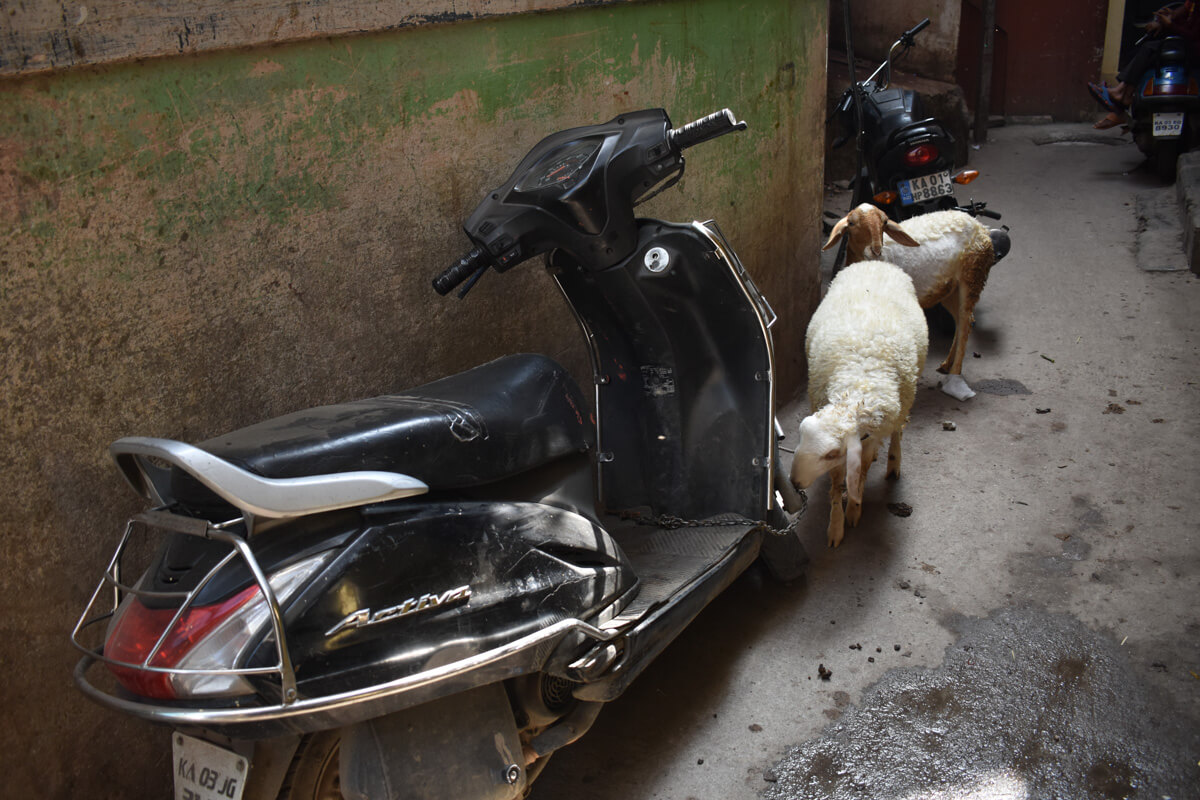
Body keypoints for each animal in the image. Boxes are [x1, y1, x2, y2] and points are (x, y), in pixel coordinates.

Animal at [792, 260, 931, 546]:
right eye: (800, 437)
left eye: (829, 453)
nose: (794, 482)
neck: (856, 393)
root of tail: (877, 261)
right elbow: (836, 484)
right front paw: (836, 524)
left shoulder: (868, 437)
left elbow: (863, 470)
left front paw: (854, 510)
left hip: (907, 395)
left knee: (899, 430)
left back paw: (893, 461)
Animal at [825, 203, 993, 402]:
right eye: (851, 223)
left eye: (884, 222)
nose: (875, 250)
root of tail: (979, 225)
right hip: (951, 288)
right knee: (962, 321)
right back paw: (946, 365)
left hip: (973, 274)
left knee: (966, 322)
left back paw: (954, 377)